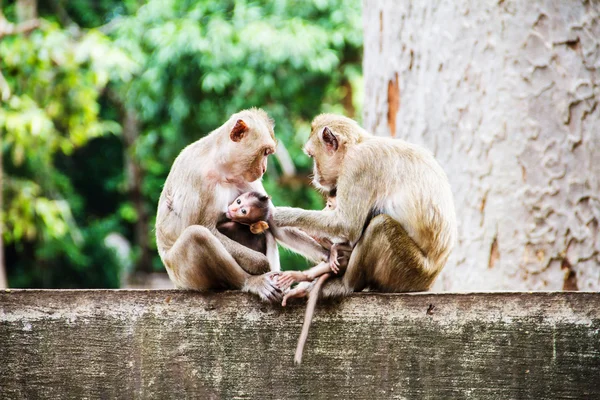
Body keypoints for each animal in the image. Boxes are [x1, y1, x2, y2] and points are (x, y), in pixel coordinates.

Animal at [152, 108, 326, 302]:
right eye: (265, 152)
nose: (264, 168)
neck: (221, 167)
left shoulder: (245, 178)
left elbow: (272, 221)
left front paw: (328, 254)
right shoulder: (197, 176)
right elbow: (201, 227)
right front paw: (260, 263)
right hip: (183, 274)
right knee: (197, 235)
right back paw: (251, 282)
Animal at [274, 112, 458, 304]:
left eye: (312, 156)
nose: (315, 175)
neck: (357, 145)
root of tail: (430, 280)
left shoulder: (358, 165)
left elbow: (348, 225)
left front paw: (282, 215)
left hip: (408, 271)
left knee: (379, 225)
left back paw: (344, 285)